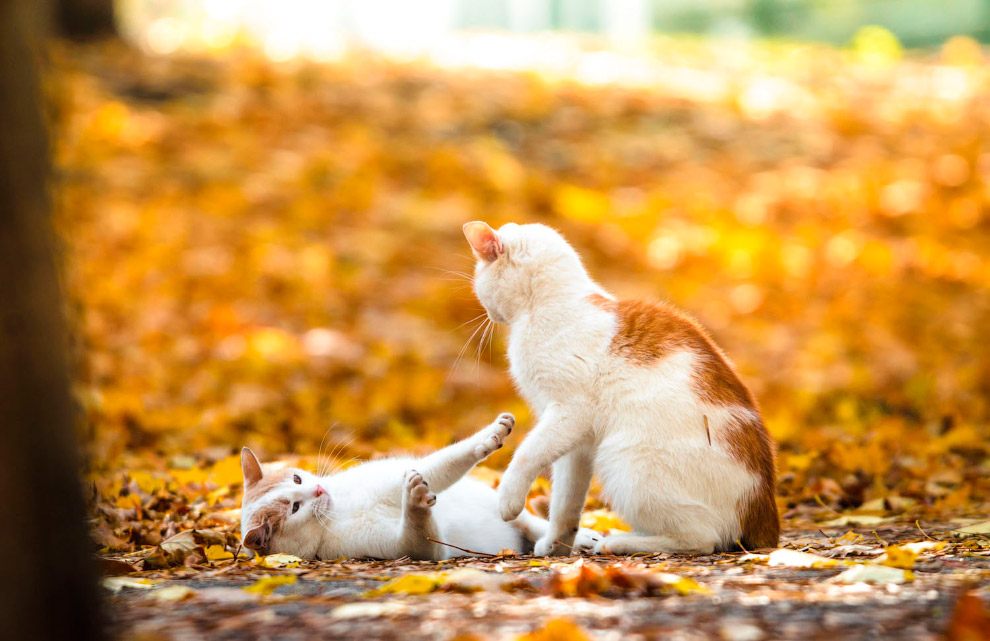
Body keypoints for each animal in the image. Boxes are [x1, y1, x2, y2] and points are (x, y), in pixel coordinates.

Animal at [238, 412, 604, 556]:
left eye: (297, 478)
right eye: (295, 508)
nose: (318, 490)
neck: (341, 506)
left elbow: (447, 460)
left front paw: (489, 437)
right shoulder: (408, 548)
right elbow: (420, 535)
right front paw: (413, 500)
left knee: (536, 524)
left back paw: (585, 539)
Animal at [464, 220, 784, 556]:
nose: (487, 312)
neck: (551, 305)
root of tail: (765, 518)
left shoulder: (568, 413)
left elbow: (527, 454)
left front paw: (508, 499)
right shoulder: (578, 442)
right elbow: (566, 503)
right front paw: (556, 546)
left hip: (625, 459)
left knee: (701, 539)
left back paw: (619, 542)